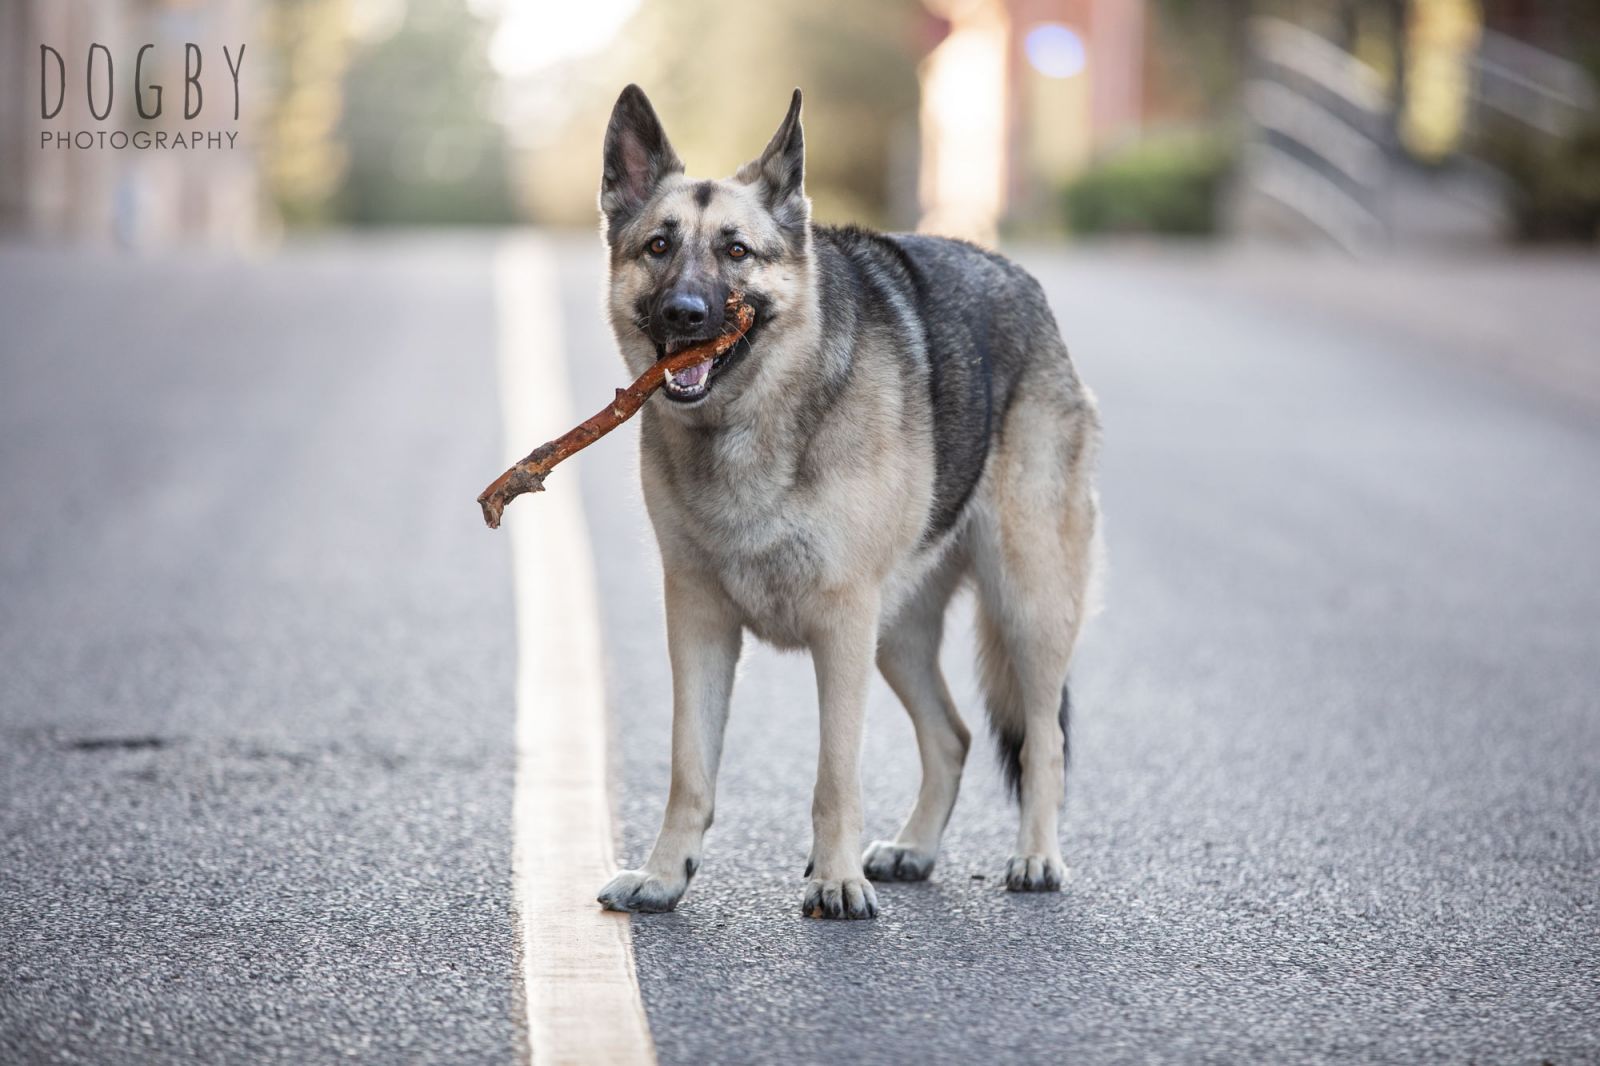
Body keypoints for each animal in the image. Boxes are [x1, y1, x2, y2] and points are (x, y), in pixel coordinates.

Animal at [592, 85, 1100, 915]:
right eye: (659, 247)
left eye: (737, 251)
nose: (685, 315)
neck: (750, 422)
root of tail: (1022, 281)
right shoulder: (698, 621)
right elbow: (689, 768)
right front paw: (666, 875)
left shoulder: (840, 625)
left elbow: (835, 773)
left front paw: (834, 881)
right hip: (896, 635)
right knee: (952, 736)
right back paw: (914, 848)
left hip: (1025, 606)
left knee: (1044, 743)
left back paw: (1036, 858)